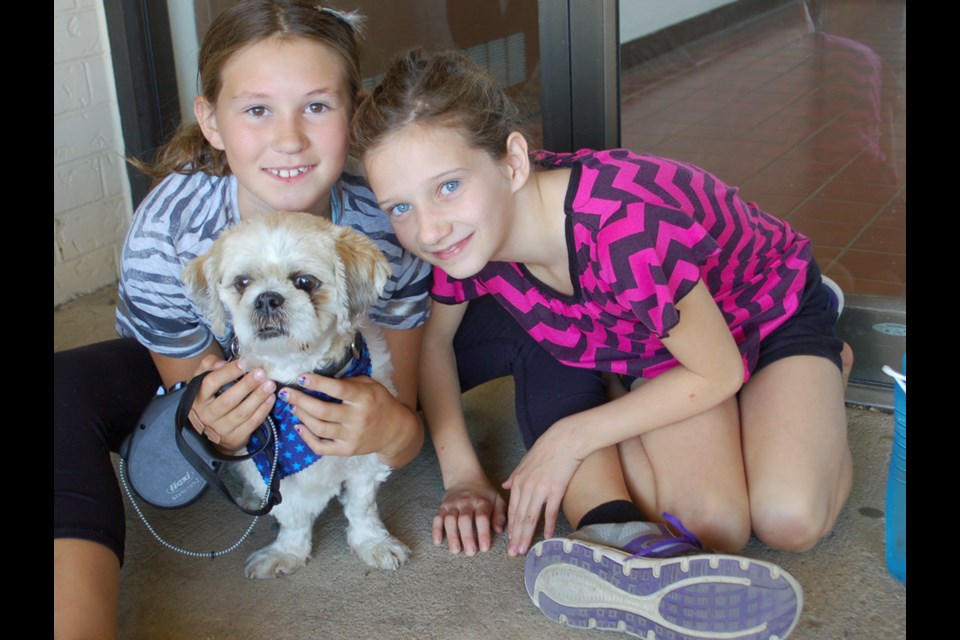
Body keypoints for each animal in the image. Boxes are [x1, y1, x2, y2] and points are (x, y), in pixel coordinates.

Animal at [183, 211, 408, 580]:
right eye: (242, 283)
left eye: (305, 281)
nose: (267, 297)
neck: (294, 378)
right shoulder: (274, 473)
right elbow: (293, 517)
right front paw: (288, 552)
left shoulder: (366, 454)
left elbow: (362, 507)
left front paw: (373, 542)